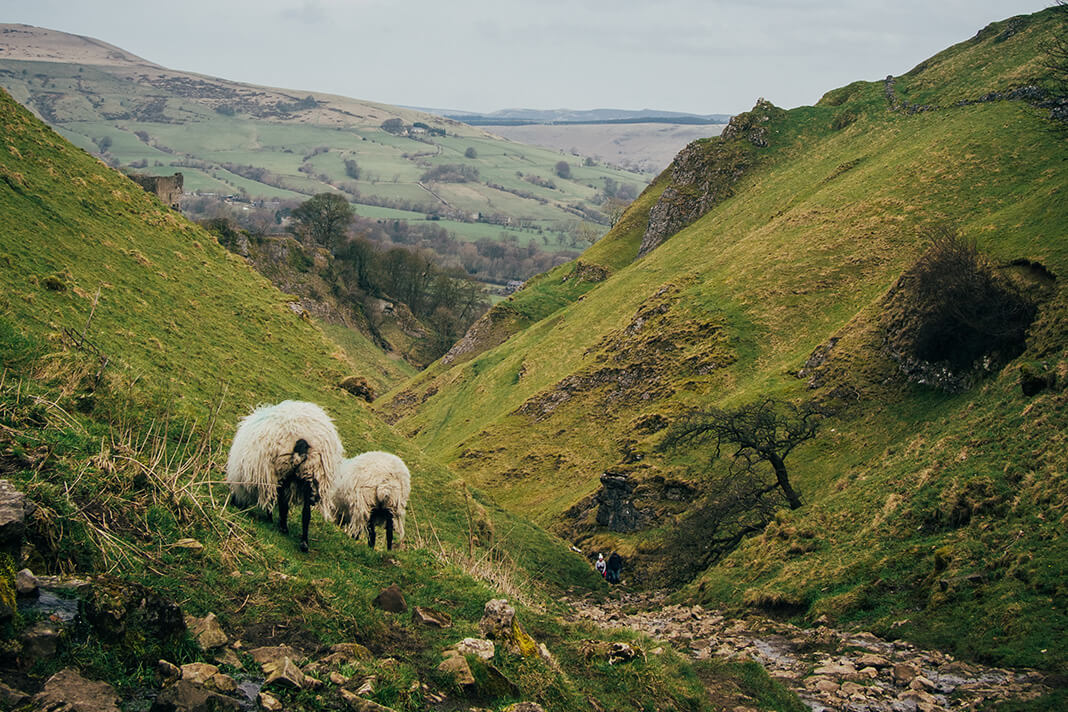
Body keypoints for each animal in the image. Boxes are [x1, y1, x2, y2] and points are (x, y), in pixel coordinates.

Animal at [225, 399, 341, 555]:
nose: (233, 503)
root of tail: (301, 439)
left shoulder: (269, 477)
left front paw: (271, 517)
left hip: (282, 468)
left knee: (282, 501)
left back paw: (282, 526)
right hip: (311, 472)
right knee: (306, 512)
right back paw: (303, 543)